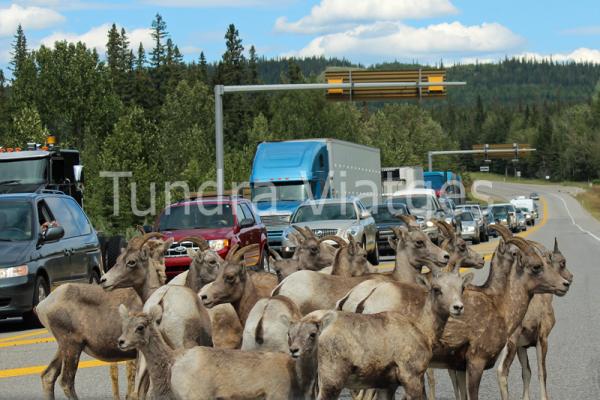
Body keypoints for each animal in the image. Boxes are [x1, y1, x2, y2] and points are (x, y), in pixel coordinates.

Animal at [35, 233, 166, 398]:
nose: (104, 280)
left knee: (48, 376)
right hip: (71, 346)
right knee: (66, 382)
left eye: (131, 261)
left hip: (63, 347)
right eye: (119, 259)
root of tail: (43, 305)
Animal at [494, 239, 576, 400]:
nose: (568, 280)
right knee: (502, 371)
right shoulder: (542, 339)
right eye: (562, 262)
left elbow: (526, 372)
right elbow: (542, 372)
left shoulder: (522, 347)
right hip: (509, 345)